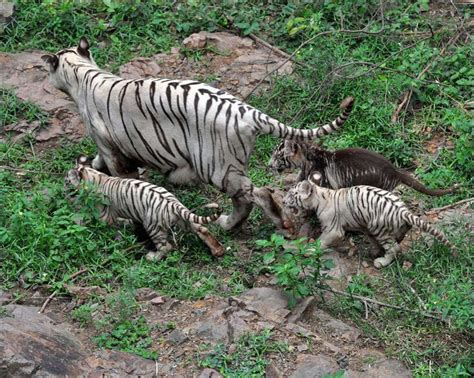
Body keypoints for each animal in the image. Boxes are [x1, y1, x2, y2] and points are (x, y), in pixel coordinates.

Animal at [42, 39, 356, 233]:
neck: (83, 72)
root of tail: (248, 111)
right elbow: (97, 163)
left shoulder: (109, 146)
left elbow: (120, 178)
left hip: (216, 167)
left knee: (253, 195)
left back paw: (234, 224)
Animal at [64, 157, 224, 260]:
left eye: (67, 181)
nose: (62, 189)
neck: (94, 177)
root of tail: (173, 203)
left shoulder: (104, 215)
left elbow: (93, 222)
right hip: (183, 220)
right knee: (202, 229)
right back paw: (218, 250)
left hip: (153, 226)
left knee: (166, 247)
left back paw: (152, 257)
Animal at [284, 173, 454, 268]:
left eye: (292, 194)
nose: (284, 201)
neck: (319, 197)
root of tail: (403, 211)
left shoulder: (333, 230)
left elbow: (321, 241)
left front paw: (310, 251)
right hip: (375, 227)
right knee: (397, 237)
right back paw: (376, 251)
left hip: (378, 227)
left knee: (394, 248)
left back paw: (381, 261)